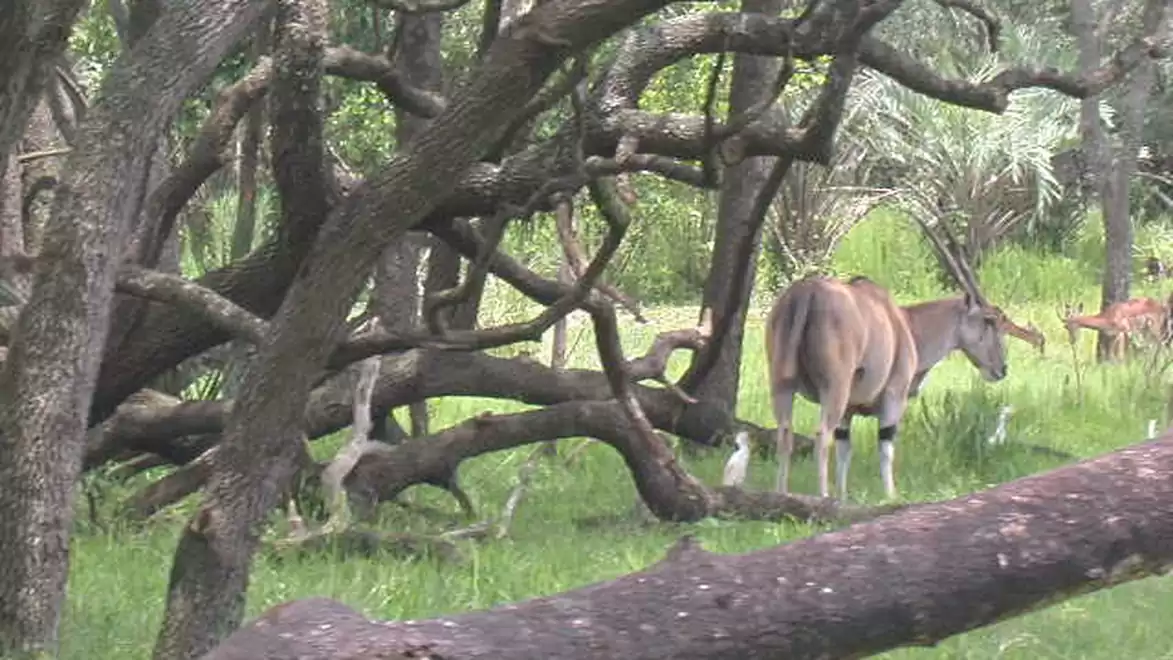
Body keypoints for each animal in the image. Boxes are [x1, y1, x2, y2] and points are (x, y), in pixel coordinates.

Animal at [765, 219, 1008, 500]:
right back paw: (822, 496)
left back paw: (781, 494)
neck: (906, 324)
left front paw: (843, 498)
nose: (1002, 369)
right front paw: (890, 496)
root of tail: (807, 290)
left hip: (782, 386)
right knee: (821, 436)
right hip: (834, 389)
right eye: (990, 320)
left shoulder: (849, 410)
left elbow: (845, 449)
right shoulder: (894, 395)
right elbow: (885, 446)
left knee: (785, 433)